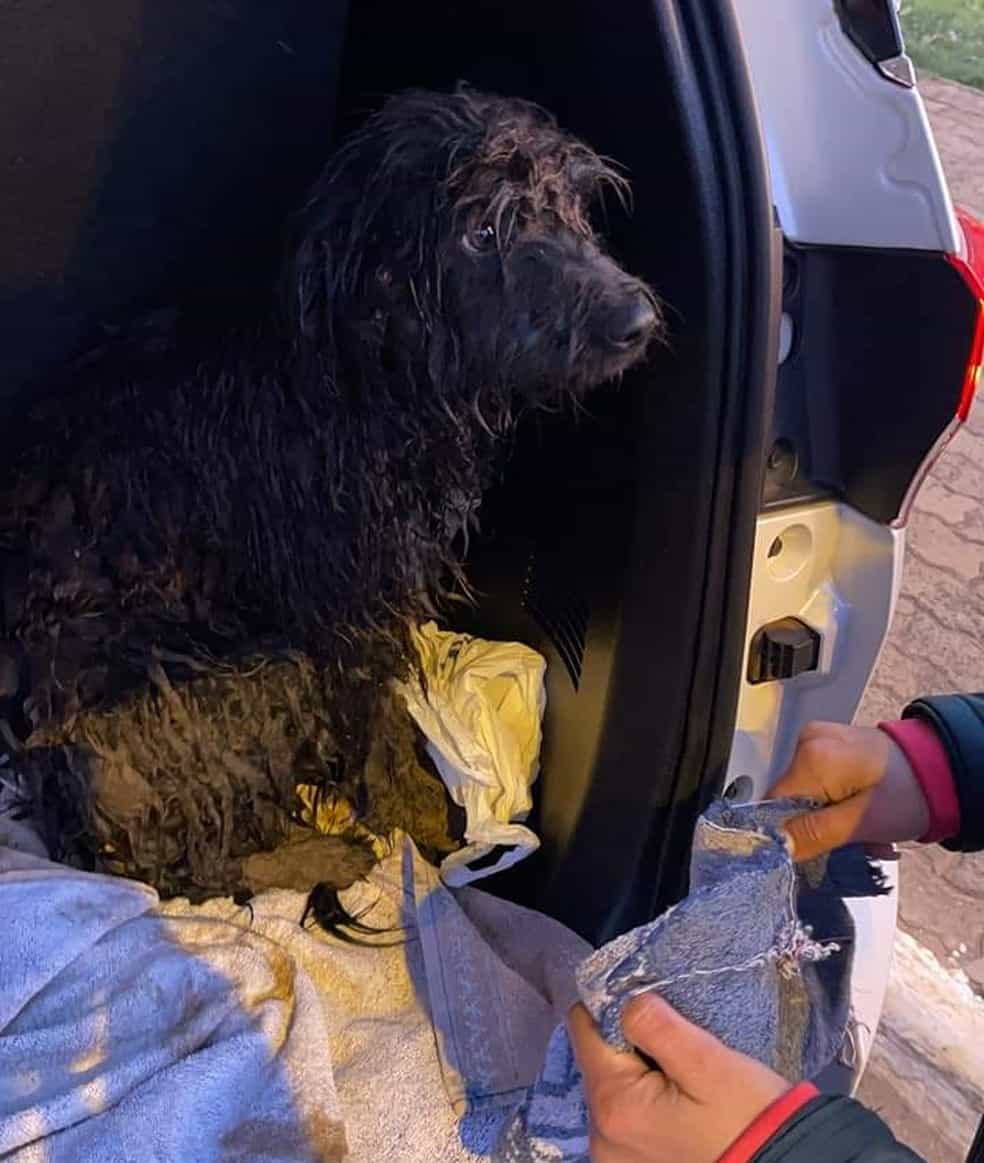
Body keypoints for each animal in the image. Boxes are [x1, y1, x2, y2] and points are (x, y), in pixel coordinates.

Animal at [1, 86, 660, 911]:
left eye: (571, 203)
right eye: (481, 232)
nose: (637, 320)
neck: (362, 374)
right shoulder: (348, 607)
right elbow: (379, 721)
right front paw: (419, 815)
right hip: (250, 670)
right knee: (194, 868)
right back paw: (327, 854)